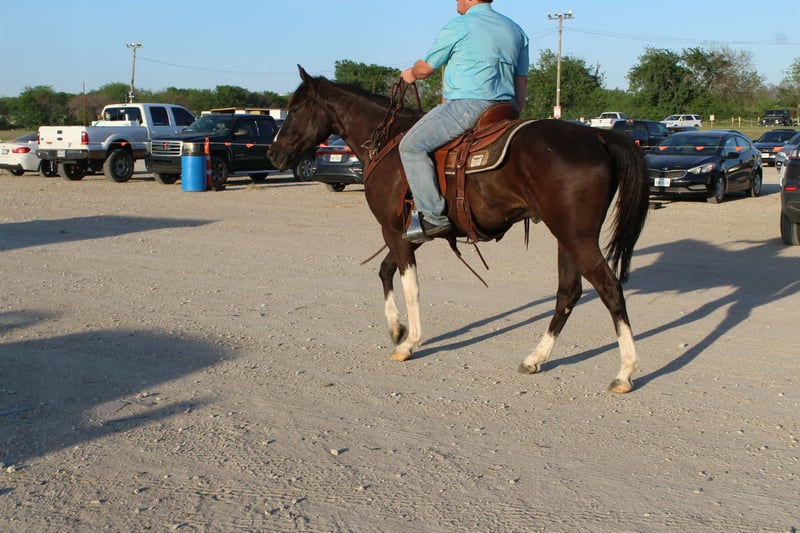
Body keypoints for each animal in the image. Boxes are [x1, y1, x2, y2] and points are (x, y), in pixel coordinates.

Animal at [268, 66, 649, 393]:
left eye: (296, 108)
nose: (273, 154)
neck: (389, 143)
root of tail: (598, 136)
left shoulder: (393, 231)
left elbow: (410, 285)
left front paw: (409, 342)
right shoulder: (410, 234)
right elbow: (385, 271)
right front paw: (396, 328)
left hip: (577, 237)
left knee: (610, 289)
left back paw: (625, 372)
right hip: (566, 238)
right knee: (568, 293)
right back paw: (535, 358)